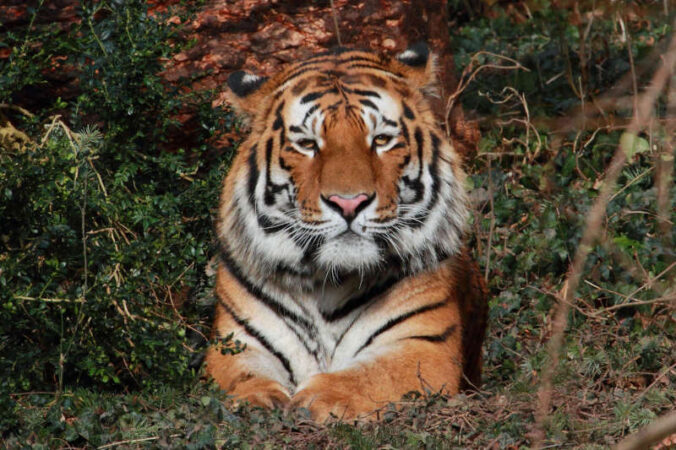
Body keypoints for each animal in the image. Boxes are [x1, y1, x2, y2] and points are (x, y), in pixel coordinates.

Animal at [203, 43, 488, 422]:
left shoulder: (423, 345)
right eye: (308, 144)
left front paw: (318, 396)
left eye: (381, 140)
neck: (329, 280)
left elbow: (370, 375)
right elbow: (241, 376)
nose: (349, 202)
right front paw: (256, 399)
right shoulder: (236, 344)